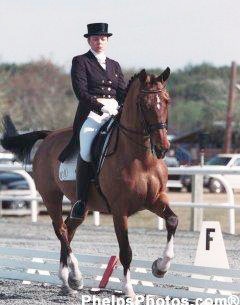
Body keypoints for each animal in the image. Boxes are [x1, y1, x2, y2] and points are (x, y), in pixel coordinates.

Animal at [0, 67, 178, 298]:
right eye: (144, 104)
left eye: (166, 101)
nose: (163, 147)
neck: (141, 159)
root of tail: (49, 136)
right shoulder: (119, 210)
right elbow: (126, 250)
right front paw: (128, 290)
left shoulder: (154, 199)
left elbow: (172, 221)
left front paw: (160, 267)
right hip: (51, 196)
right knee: (61, 230)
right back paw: (75, 277)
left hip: (81, 205)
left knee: (69, 228)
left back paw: (66, 282)